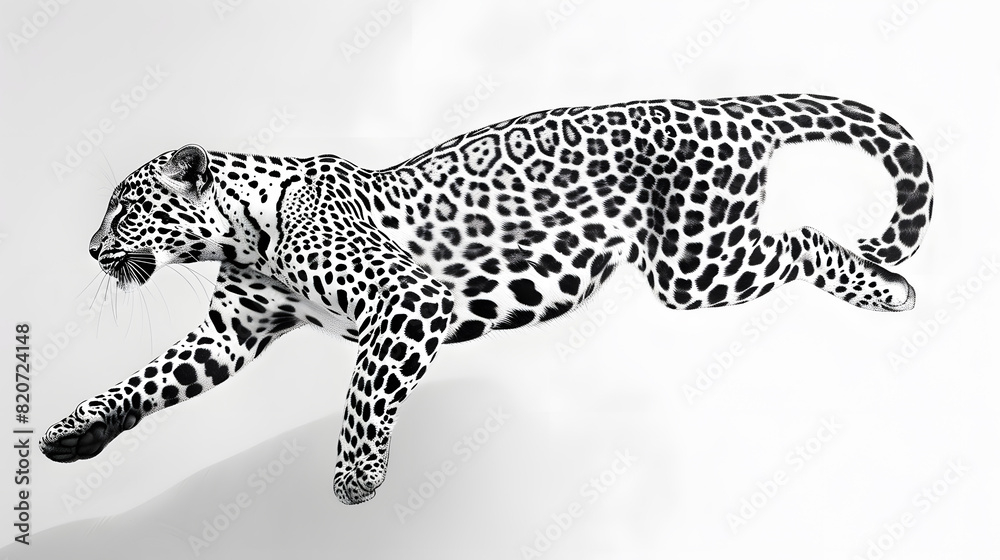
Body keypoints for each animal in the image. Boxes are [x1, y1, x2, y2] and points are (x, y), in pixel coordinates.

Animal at [41, 93, 933, 504]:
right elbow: (145, 382)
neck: (241, 236)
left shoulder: (408, 301)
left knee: (805, 237)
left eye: (125, 207)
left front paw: (355, 484)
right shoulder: (228, 335)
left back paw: (887, 289)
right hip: (695, 262)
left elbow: (363, 397)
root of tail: (711, 103)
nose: (87, 250)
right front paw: (69, 434)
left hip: (697, 263)